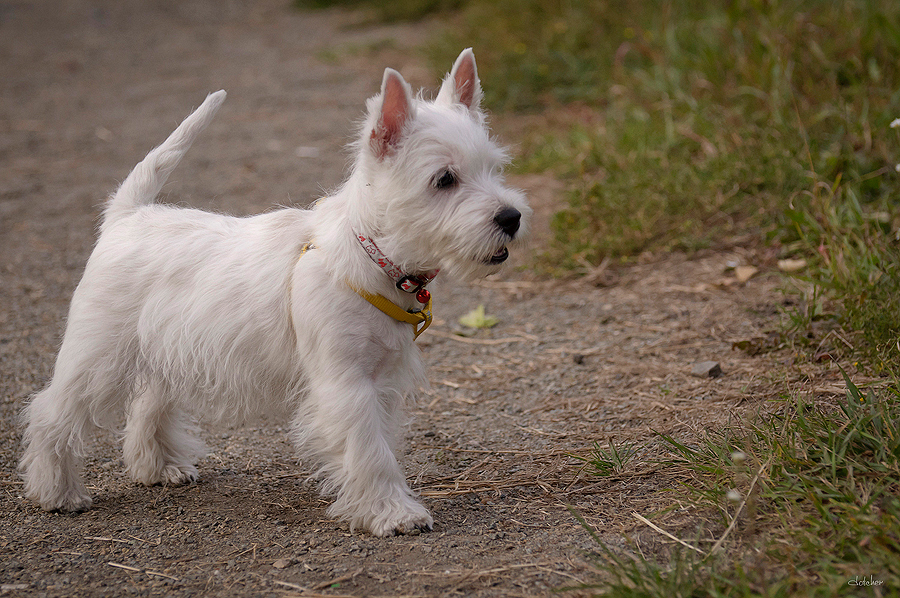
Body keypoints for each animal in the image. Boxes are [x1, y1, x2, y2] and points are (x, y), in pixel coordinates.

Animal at [19, 49, 528, 540]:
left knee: (147, 405)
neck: (373, 257)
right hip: (96, 357)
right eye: (444, 179)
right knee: (51, 414)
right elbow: (370, 452)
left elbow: (379, 445)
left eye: (494, 168)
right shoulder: (346, 384)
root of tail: (126, 217)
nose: (511, 217)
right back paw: (57, 492)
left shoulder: (381, 380)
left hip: (167, 350)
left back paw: (160, 467)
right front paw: (392, 513)